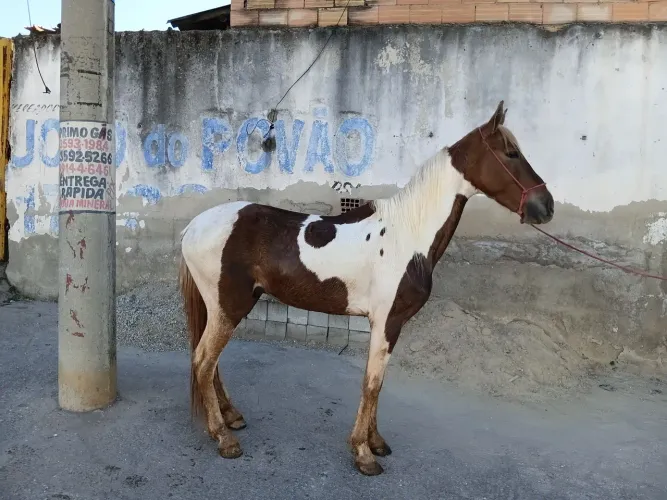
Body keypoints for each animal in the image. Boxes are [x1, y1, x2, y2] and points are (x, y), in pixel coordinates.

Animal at [178, 100, 554, 476]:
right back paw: (224, 438)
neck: (408, 235)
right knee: (203, 360)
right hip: (229, 306)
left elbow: (379, 383)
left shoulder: (391, 325)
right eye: (511, 153)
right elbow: (371, 384)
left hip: (225, 306)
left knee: (210, 361)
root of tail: (194, 226)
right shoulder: (386, 322)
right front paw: (363, 453)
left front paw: (376, 443)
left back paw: (232, 417)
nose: (546, 206)